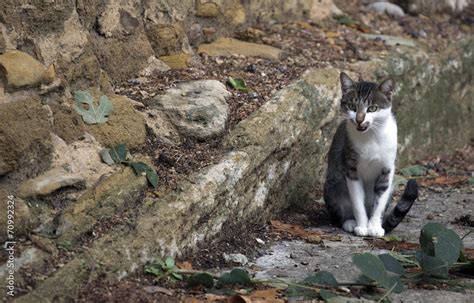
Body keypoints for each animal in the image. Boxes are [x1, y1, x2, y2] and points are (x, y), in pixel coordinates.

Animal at [322, 73, 418, 238]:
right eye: (352, 106)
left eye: (372, 108)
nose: (359, 119)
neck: (371, 137)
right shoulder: (351, 168)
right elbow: (357, 201)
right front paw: (362, 226)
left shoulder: (387, 169)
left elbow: (379, 200)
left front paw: (374, 227)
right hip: (333, 182)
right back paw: (349, 222)